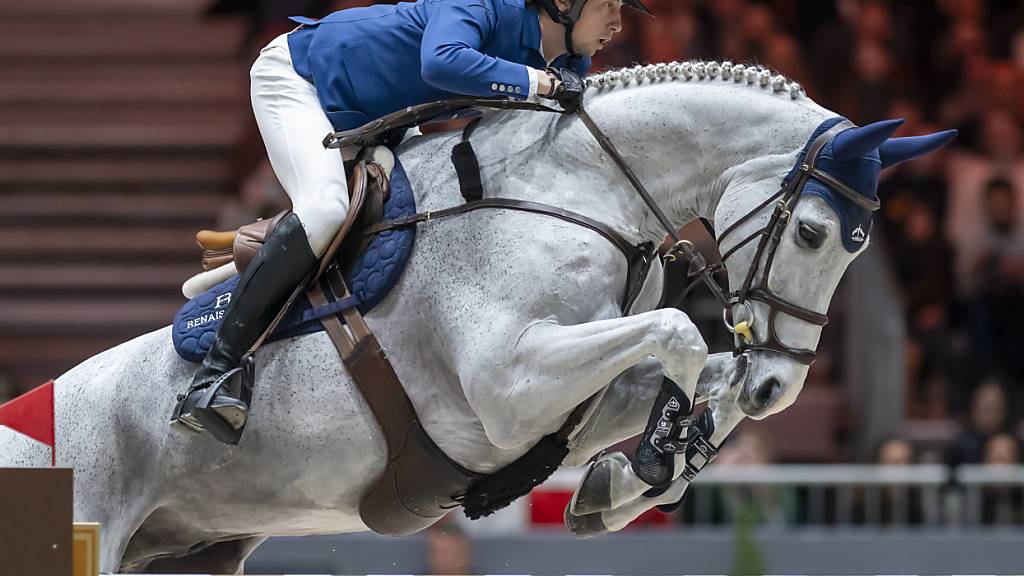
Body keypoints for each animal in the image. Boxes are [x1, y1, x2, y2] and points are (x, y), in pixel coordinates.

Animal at [4, 60, 954, 569]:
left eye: (862, 248)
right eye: (814, 231)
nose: (777, 386)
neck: (580, 191)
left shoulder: (566, 405)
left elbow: (689, 371)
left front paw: (627, 480)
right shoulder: (506, 387)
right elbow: (683, 334)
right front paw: (653, 460)